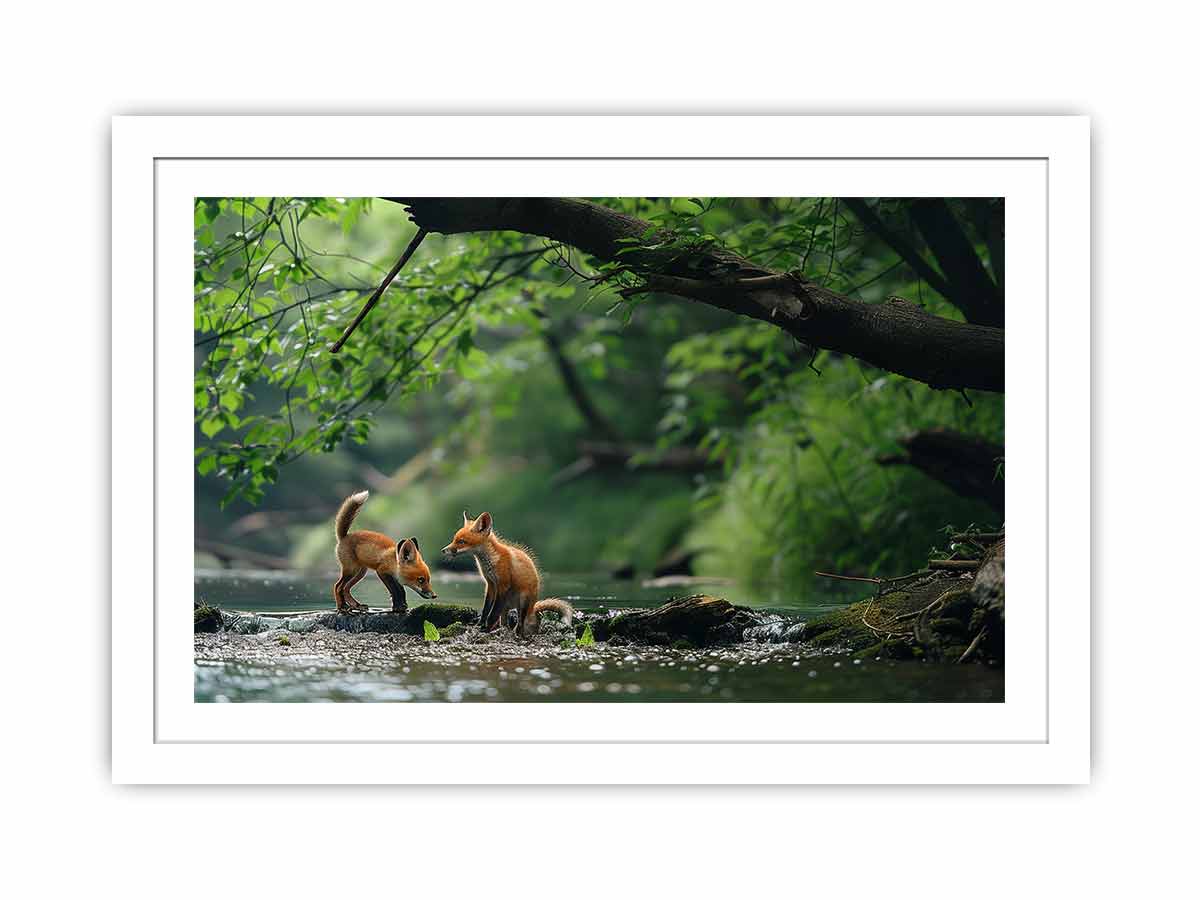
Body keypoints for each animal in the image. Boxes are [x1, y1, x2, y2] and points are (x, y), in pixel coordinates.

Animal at [442, 510, 574, 637]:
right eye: (454, 539)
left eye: (461, 541)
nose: (443, 550)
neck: (491, 561)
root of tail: (533, 606)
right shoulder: (490, 585)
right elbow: (485, 610)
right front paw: (480, 625)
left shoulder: (503, 585)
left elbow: (492, 614)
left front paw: (485, 629)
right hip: (506, 608)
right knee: (505, 623)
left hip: (523, 601)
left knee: (520, 623)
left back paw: (517, 634)